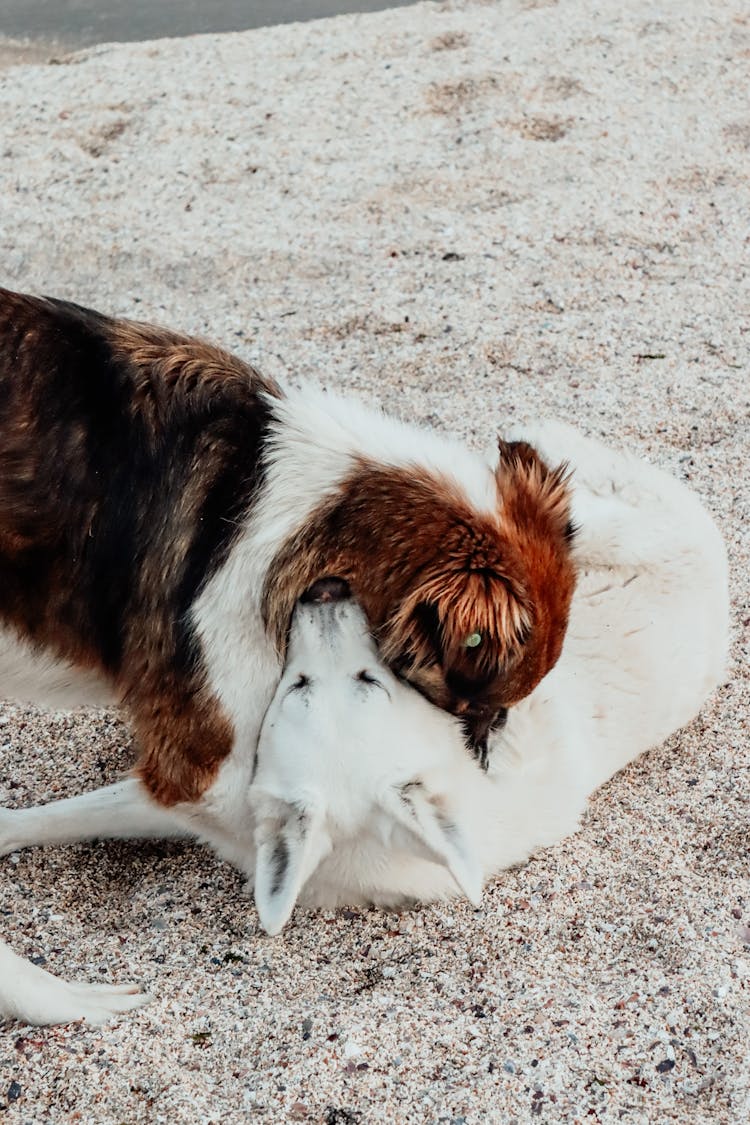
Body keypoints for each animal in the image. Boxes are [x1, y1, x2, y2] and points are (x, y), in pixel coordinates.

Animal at [0, 420, 728, 1021]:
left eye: (364, 678)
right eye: (299, 684)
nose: (326, 592)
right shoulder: (200, 793)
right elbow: (66, 816)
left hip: (653, 535)